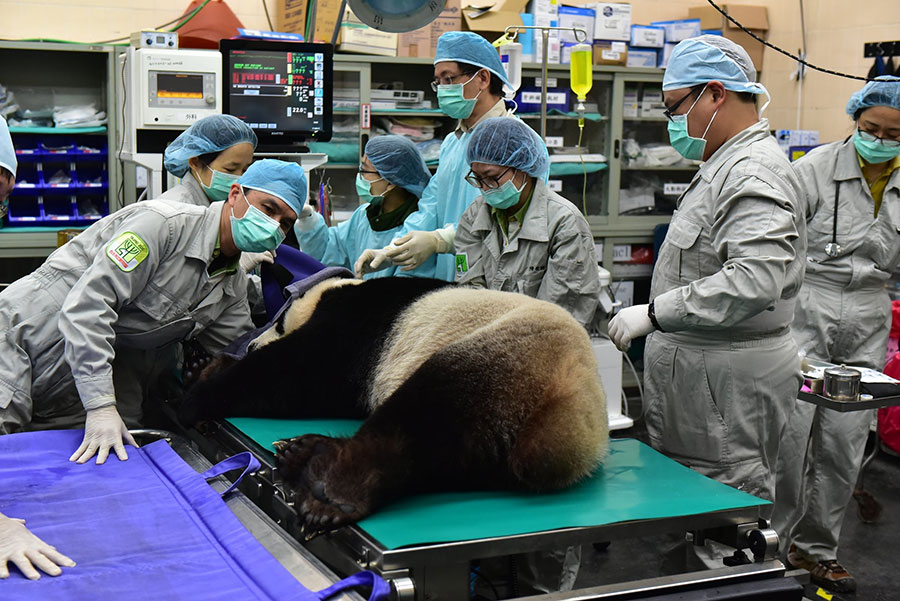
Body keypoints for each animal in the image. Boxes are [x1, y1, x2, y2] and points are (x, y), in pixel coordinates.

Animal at [179, 276, 608, 534]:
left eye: (279, 323)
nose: (252, 343)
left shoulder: (357, 325)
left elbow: (291, 374)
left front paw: (199, 394)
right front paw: (203, 366)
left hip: (500, 359)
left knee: (421, 417)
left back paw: (330, 492)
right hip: (497, 455)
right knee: (444, 456)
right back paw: (305, 452)